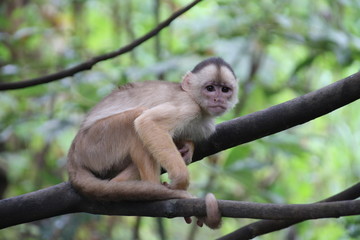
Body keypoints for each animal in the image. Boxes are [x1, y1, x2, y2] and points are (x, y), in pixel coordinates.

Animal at [67, 56, 239, 229]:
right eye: (210, 88)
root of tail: (73, 154)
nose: (218, 99)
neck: (195, 101)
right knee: (136, 117)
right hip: (95, 144)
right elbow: (148, 123)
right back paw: (153, 191)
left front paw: (188, 145)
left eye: (225, 90)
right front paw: (180, 181)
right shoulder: (188, 106)